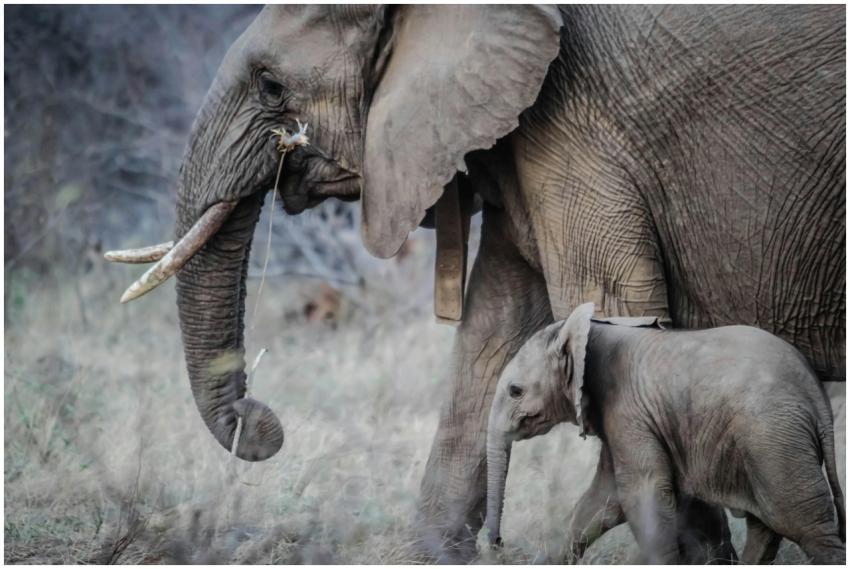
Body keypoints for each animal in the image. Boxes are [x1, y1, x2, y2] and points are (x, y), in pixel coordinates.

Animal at [485, 303, 846, 564]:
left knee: (805, 526)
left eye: (515, 391)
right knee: (767, 525)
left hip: (773, 439)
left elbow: (643, 494)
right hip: (768, 443)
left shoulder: (628, 410)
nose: (498, 543)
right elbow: (602, 501)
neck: (589, 329)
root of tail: (816, 396)